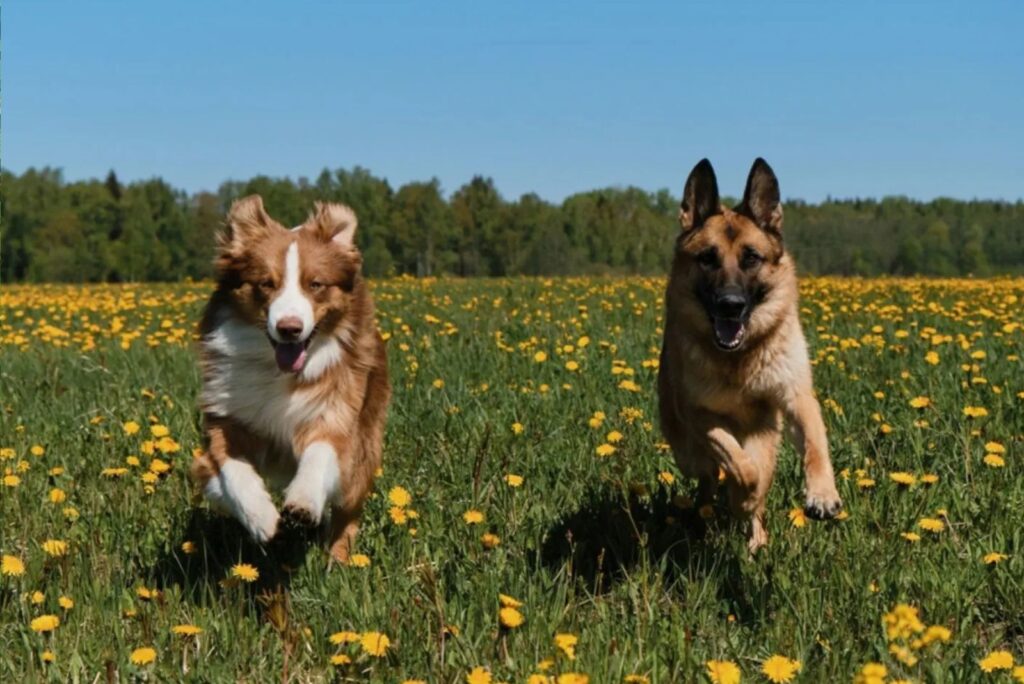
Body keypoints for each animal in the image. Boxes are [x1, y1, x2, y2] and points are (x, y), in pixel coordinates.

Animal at [190, 194, 389, 565]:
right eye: (266, 283)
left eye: (316, 284)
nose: (289, 328)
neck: (278, 373)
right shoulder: (226, 421)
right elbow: (230, 472)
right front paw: (260, 517)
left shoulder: (338, 415)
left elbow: (320, 454)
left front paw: (304, 502)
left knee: (348, 511)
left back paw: (338, 560)